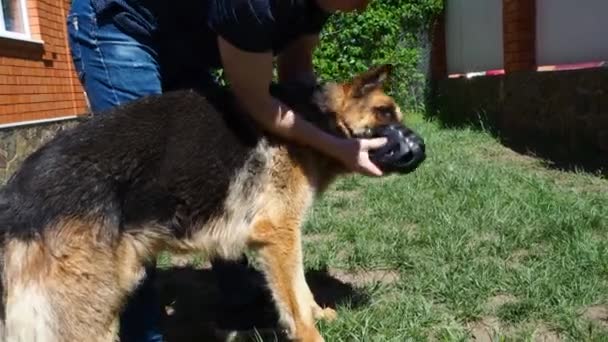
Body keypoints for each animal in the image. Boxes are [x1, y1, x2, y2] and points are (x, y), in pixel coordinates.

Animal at [0, 65, 422, 342]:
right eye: (384, 112)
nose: (420, 147)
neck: (315, 120)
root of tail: (18, 191)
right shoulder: (279, 235)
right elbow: (295, 301)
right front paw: (311, 333)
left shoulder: (283, 237)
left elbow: (302, 290)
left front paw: (320, 313)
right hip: (88, 311)